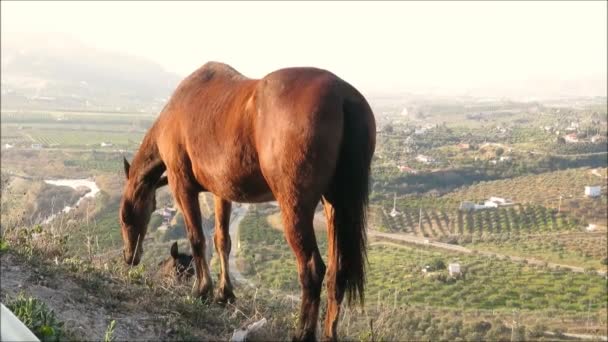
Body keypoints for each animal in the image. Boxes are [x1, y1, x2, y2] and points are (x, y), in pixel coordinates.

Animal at [118, 60, 376, 340]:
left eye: (124, 217)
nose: (129, 256)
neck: (175, 112)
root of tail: (342, 96)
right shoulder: (222, 192)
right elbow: (222, 241)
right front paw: (224, 293)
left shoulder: (181, 185)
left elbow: (197, 238)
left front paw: (202, 290)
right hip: (334, 206)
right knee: (337, 272)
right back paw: (329, 332)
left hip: (294, 207)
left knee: (311, 269)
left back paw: (302, 333)